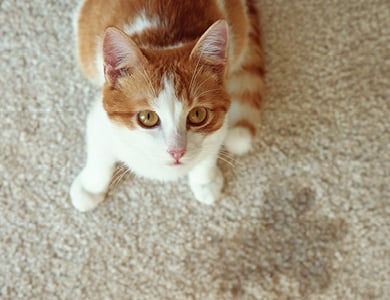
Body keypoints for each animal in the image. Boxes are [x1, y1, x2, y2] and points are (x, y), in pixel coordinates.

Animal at [70, 0, 266, 211]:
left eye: (198, 114)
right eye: (147, 117)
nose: (177, 152)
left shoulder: (220, 127)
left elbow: (208, 156)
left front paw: (205, 181)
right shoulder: (100, 123)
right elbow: (99, 160)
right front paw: (90, 188)